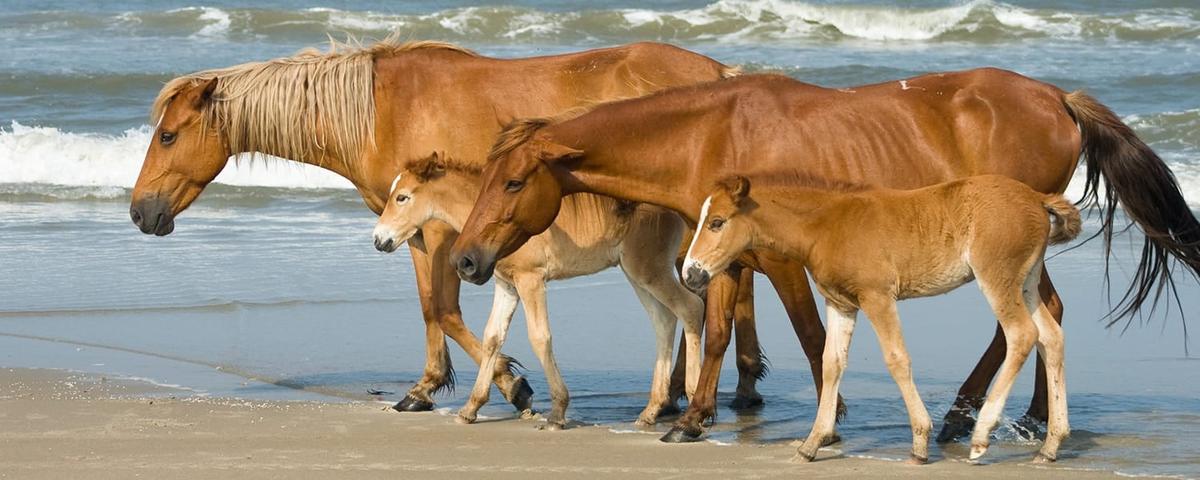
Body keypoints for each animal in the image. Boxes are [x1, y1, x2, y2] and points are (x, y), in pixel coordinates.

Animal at [372, 151, 700, 427]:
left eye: (402, 197)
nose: (378, 239)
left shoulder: (530, 278)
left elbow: (540, 337)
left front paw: (557, 412)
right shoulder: (506, 283)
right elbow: (493, 337)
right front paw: (471, 408)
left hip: (647, 269)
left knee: (689, 308)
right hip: (636, 273)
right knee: (664, 321)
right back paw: (651, 410)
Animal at [681, 174, 1084, 463]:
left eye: (717, 222)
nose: (690, 273)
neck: (828, 225)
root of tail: (1036, 198)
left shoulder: (877, 297)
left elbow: (896, 359)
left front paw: (920, 441)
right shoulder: (840, 303)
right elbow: (831, 363)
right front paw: (812, 443)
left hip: (997, 277)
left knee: (1021, 334)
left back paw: (982, 436)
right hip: (1026, 281)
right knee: (1051, 337)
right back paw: (1051, 445)